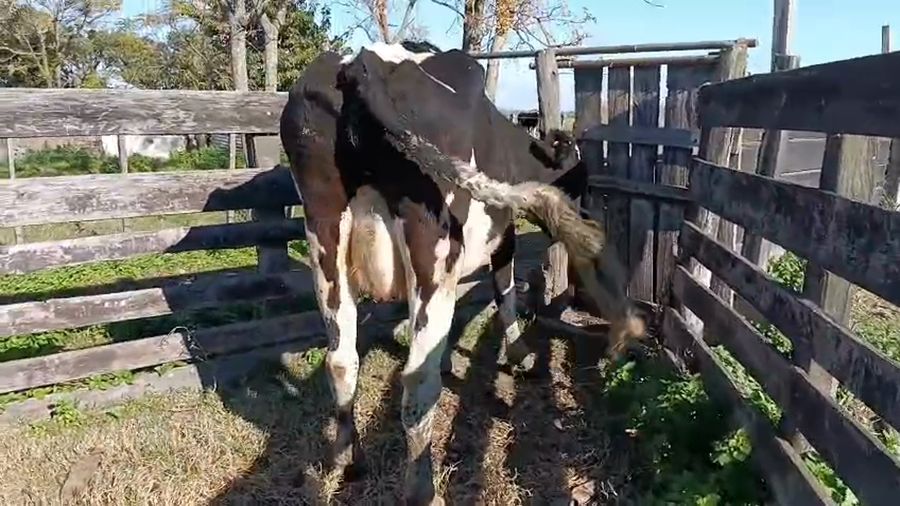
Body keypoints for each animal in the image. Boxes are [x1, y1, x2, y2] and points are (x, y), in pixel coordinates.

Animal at [279, 40, 647, 506]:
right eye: (579, 179)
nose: (584, 211)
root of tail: (362, 64)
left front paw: (448, 354)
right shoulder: (503, 235)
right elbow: (504, 294)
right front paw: (519, 354)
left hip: (323, 230)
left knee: (342, 360)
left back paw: (349, 458)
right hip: (431, 241)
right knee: (417, 379)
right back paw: (421, 487)